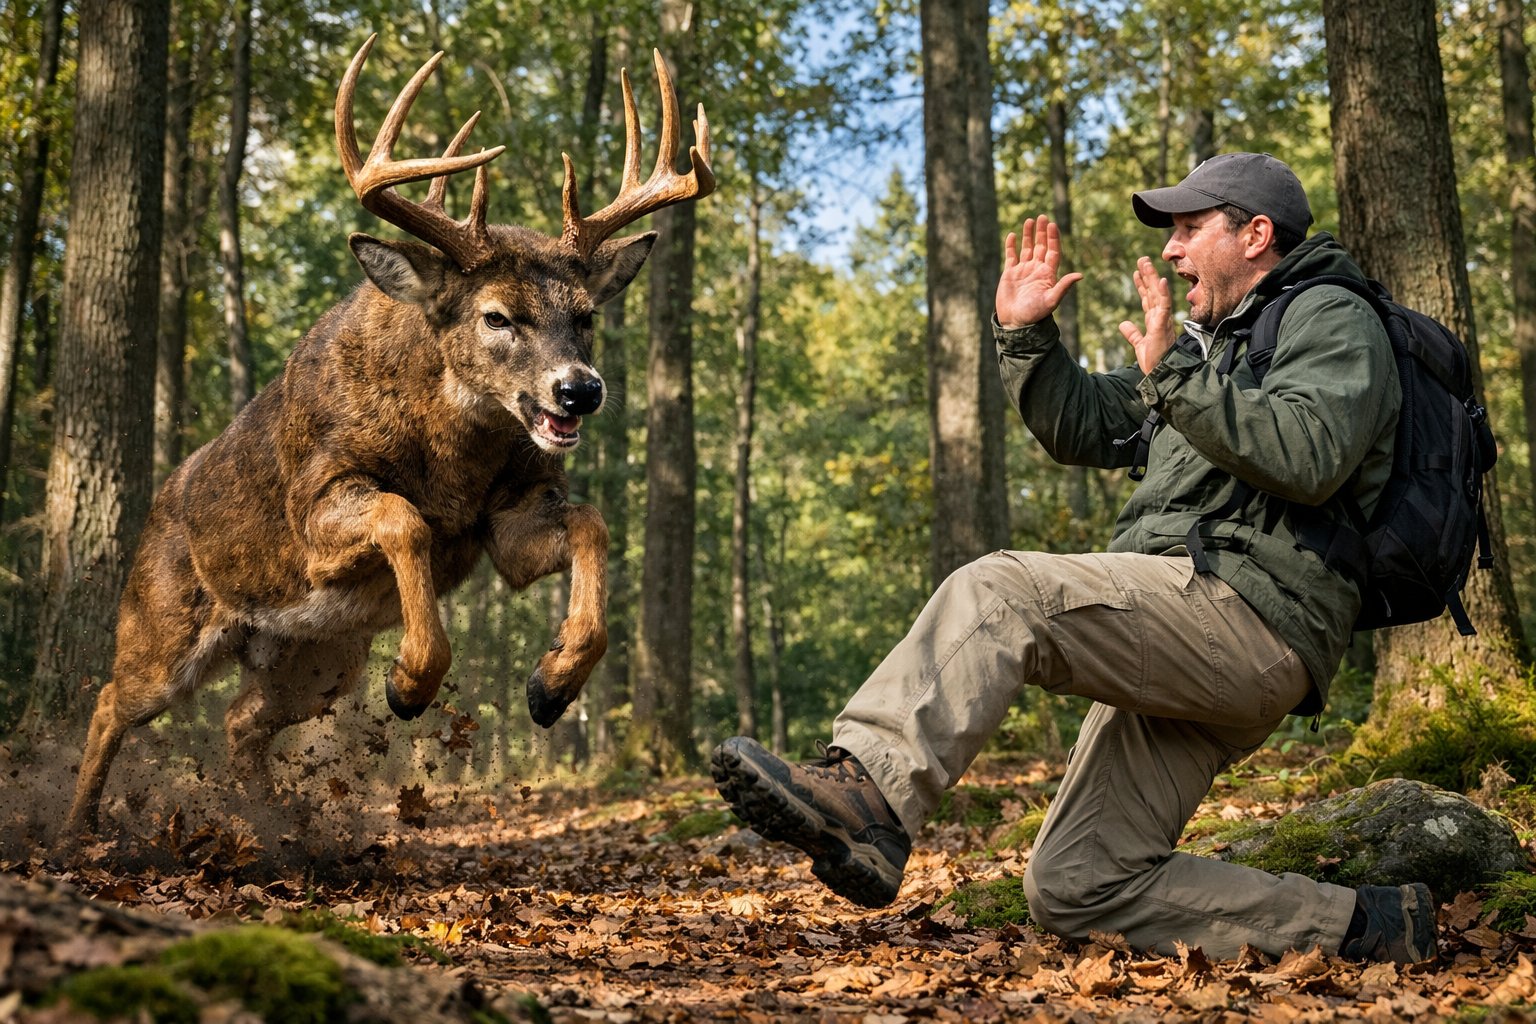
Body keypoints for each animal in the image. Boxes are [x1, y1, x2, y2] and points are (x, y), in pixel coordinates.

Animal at [65, 35, 714, 836]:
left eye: (586, 314)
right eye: (497, 316)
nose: (580, 390)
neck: (452, 460)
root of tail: (157, 513)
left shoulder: (508, 518)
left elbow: (591, 522)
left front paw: (551, 683)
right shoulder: (315, 506)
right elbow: (406, 520)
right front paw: (410, 682)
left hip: (317, 659)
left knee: (240, 721)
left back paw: (279, 828)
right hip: (165, 630)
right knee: (111, 702)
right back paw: (75, 833)